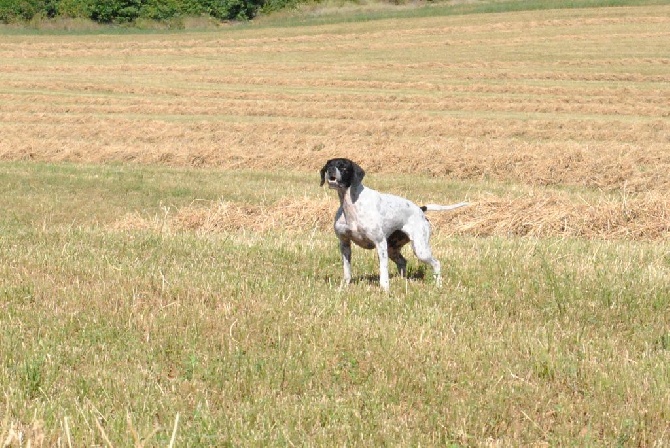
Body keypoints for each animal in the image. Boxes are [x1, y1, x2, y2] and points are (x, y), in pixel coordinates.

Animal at [322, 158, 470, 290]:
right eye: (329, 165)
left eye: (343, 167)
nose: (330, 169)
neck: (351, 205)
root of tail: (420, 209)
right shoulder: (344, 244)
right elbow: (347, 270)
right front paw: (344, 286)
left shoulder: (380, 243)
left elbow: (383, 270)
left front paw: (385, 289)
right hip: (393, 249)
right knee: (403, 261)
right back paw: (402, 281)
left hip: (420, 249)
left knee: (436, 263)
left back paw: (438, 285)